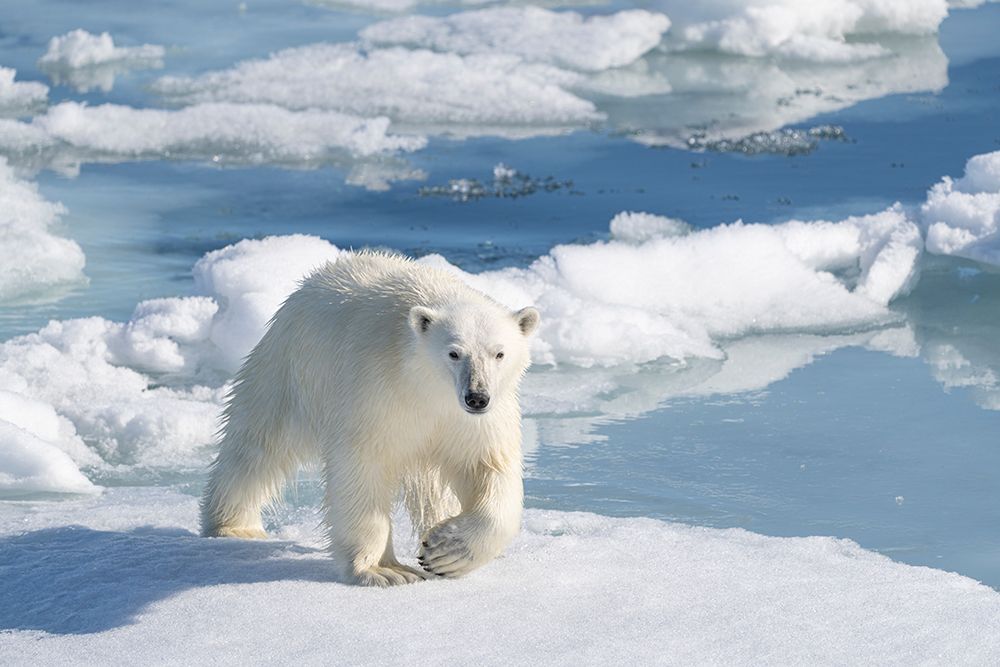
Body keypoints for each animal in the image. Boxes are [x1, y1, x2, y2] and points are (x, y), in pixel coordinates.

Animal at [200, 251, 540, 586]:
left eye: (499, 353)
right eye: (454, 353)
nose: (477, 397)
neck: (426, 386)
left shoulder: (475, 420)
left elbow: (489, 467)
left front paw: (446, 550)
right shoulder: (377, 391)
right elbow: (363, 467)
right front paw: (385, 570)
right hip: (290, 373)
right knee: (258, 445)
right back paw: (234, 525)